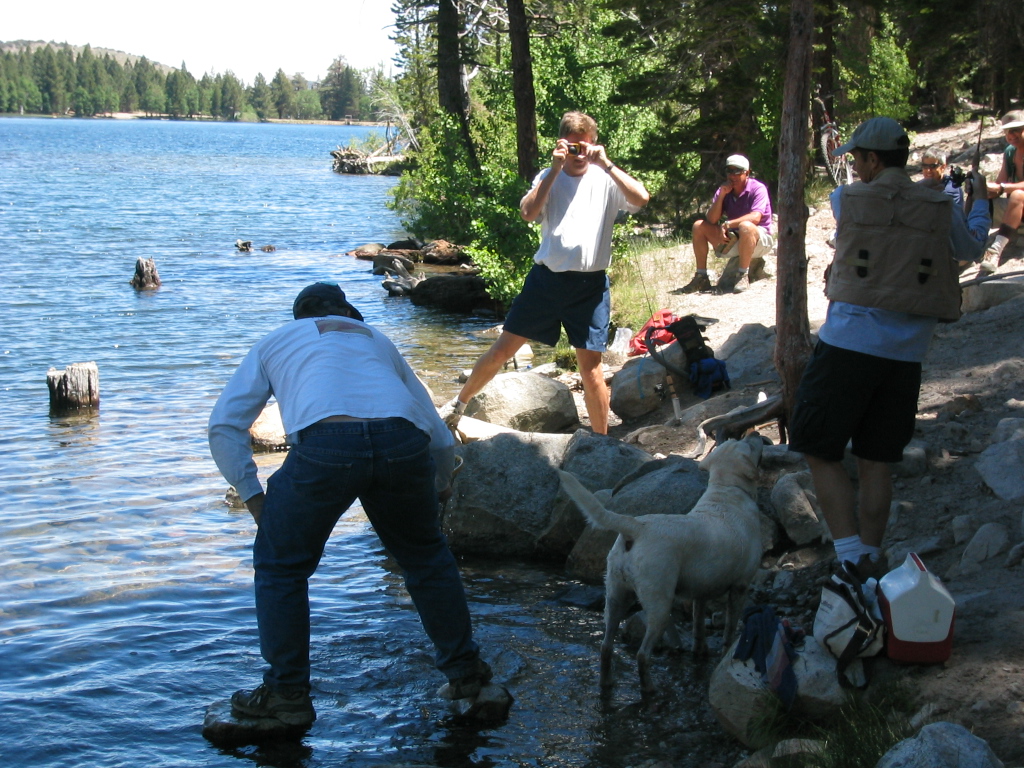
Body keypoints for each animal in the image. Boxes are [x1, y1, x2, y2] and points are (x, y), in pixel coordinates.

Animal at [557, 433, 764, 695]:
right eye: (748, 444)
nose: (755, 434)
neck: (727, 490)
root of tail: (636, 527)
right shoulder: (740, 587)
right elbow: (729, 629)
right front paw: (724, 653)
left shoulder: (701, 591)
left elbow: (698, 626)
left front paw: (701, 652)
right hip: (660, 605)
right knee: (642, 654)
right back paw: (650, 688)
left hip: (615, 596)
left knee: (605, 646)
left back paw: (607, 683)